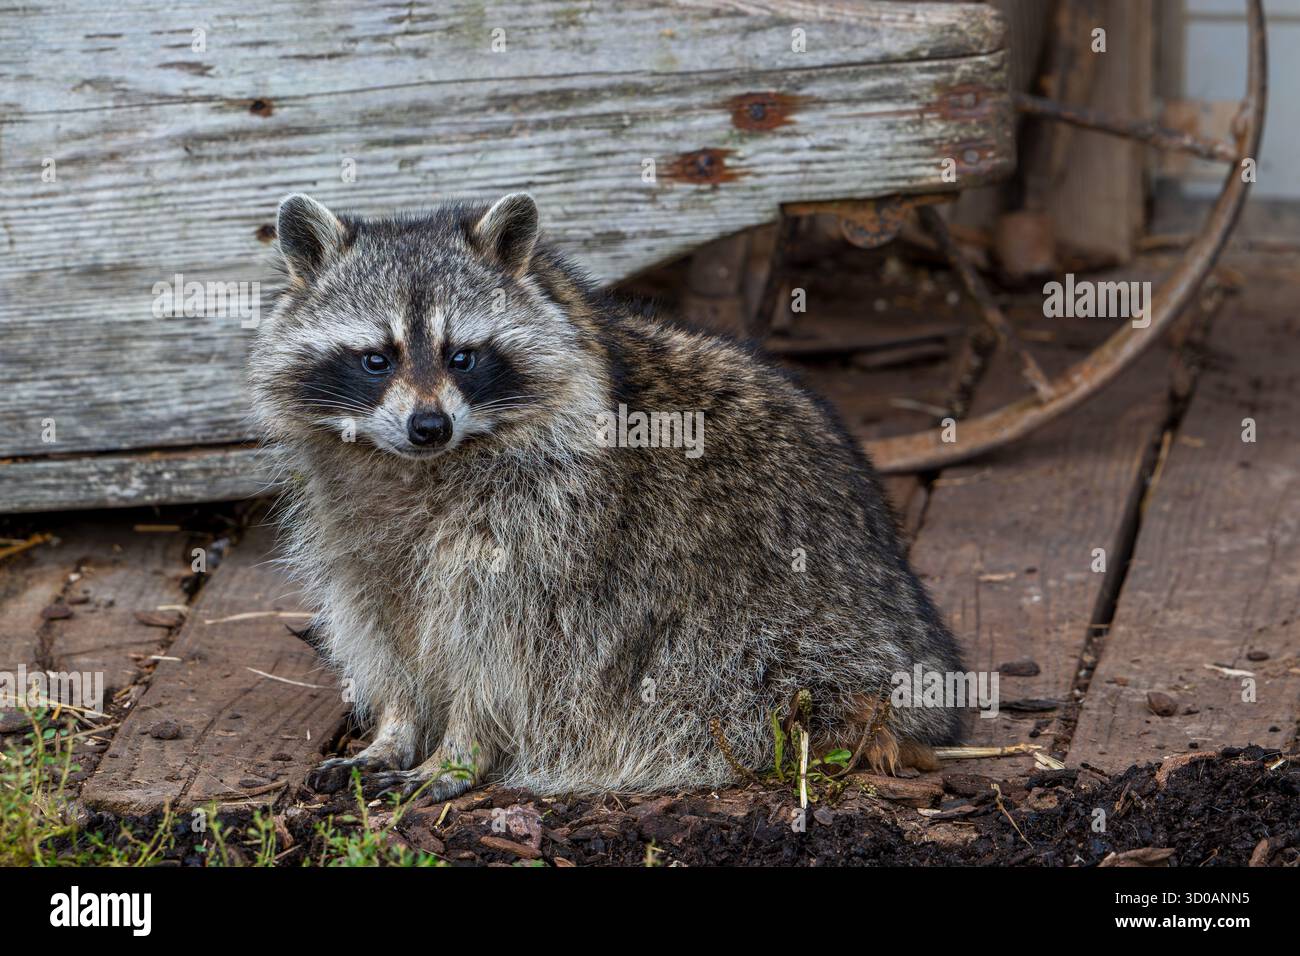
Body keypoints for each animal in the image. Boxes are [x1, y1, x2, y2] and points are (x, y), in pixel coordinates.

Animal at [248, 192, 965, 800]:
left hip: (785, 650)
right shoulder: (358, 531)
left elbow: (503, 661)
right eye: (377, 359)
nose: (430, 426)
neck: (420, 468)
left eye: (463, 357)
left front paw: (460, 751)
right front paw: (395, 729)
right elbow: (387, 628)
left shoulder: (549, 535)